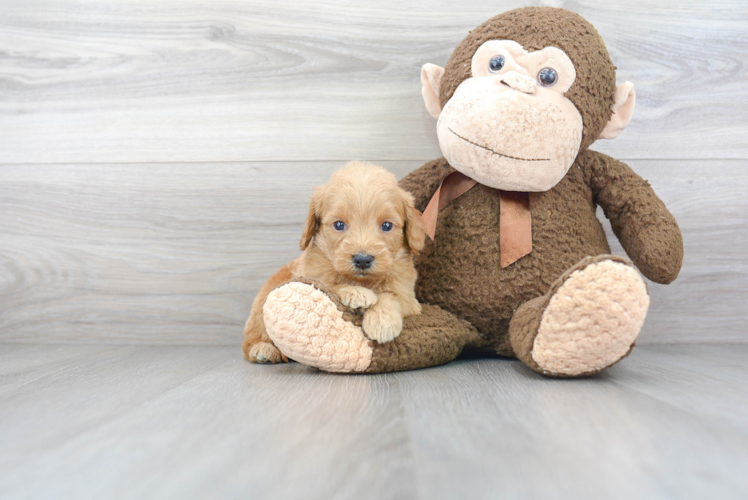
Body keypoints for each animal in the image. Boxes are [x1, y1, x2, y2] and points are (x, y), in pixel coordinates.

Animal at [243, 161, 424, 364]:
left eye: (386, 225)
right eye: (339, 225)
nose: (362, 259)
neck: (362, 281)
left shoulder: (410, 299)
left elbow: (391, 297)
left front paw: (382, 320)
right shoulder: (311, 275)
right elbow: (330, 285)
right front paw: (355, 293)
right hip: (264, 299)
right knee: (250, 338)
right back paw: (263, 349)